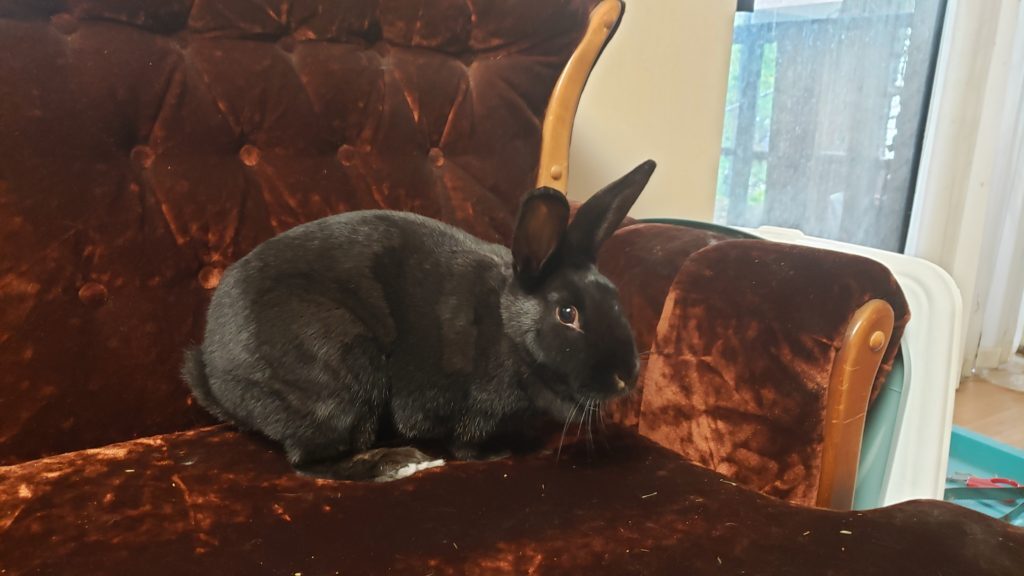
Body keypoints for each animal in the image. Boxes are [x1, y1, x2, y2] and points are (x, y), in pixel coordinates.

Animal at [182, 160, 656, 482]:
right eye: (567, 313)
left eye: (615, 296)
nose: (626, 377)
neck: (508, 328)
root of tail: (215, 376)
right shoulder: (471, 406)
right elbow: (465, 443)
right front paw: (496, 455)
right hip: (340, 371)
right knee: (311, 461)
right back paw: (398, 463)